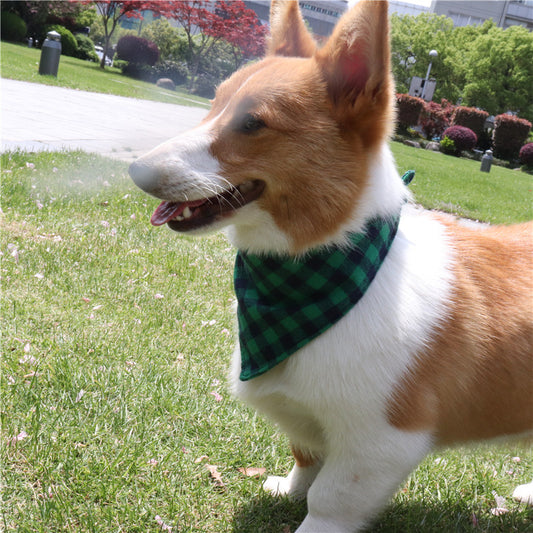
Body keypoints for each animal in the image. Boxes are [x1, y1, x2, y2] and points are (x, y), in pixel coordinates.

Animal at [130, 2, 532, 528]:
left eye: (253, 123)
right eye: (214, 103)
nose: (135, 169)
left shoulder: (379, 442)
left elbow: (329, 501)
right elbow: (305, 457)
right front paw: (287, 488)